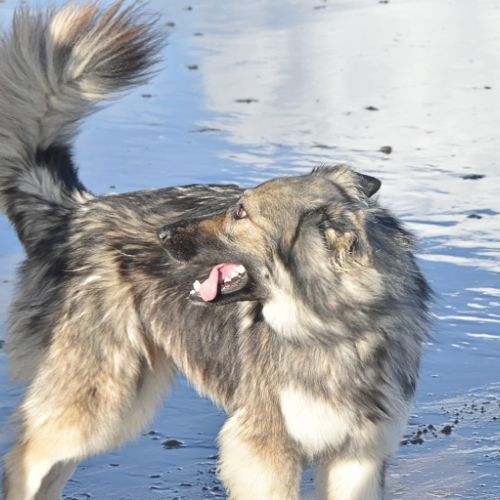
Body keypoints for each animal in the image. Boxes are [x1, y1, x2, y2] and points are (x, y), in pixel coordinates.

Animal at [0, 2, 431, 499]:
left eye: (240, 213)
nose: (164, 235)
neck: (337, 329)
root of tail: (77, 210)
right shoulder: (263, 447)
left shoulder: (358, 457)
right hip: (102, 396)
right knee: (25, 456)